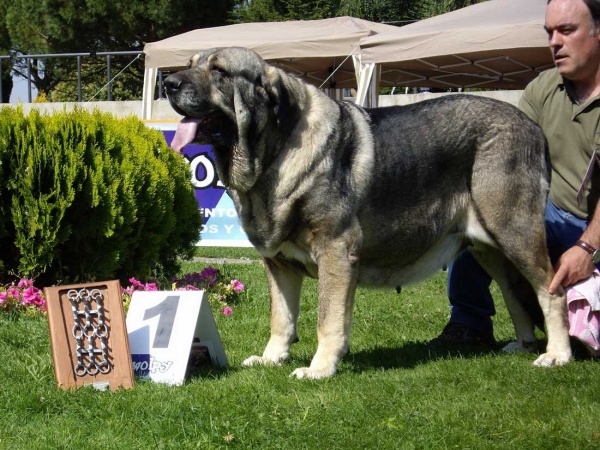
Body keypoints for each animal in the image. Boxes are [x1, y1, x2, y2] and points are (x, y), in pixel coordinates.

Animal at [165, 47, 572, 378]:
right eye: (190, 64)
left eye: (219, 70)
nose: (168, 83)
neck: (273, 154)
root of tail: (532, 126)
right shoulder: (279, 264)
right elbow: (281, 317)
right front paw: (271, 359)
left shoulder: (335, 251)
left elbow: (328, 318)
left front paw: (319, 368)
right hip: (489, 247)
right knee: (514, 294)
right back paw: (524, 345)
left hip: (514, 231)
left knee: (550, 290)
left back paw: (557, 355)